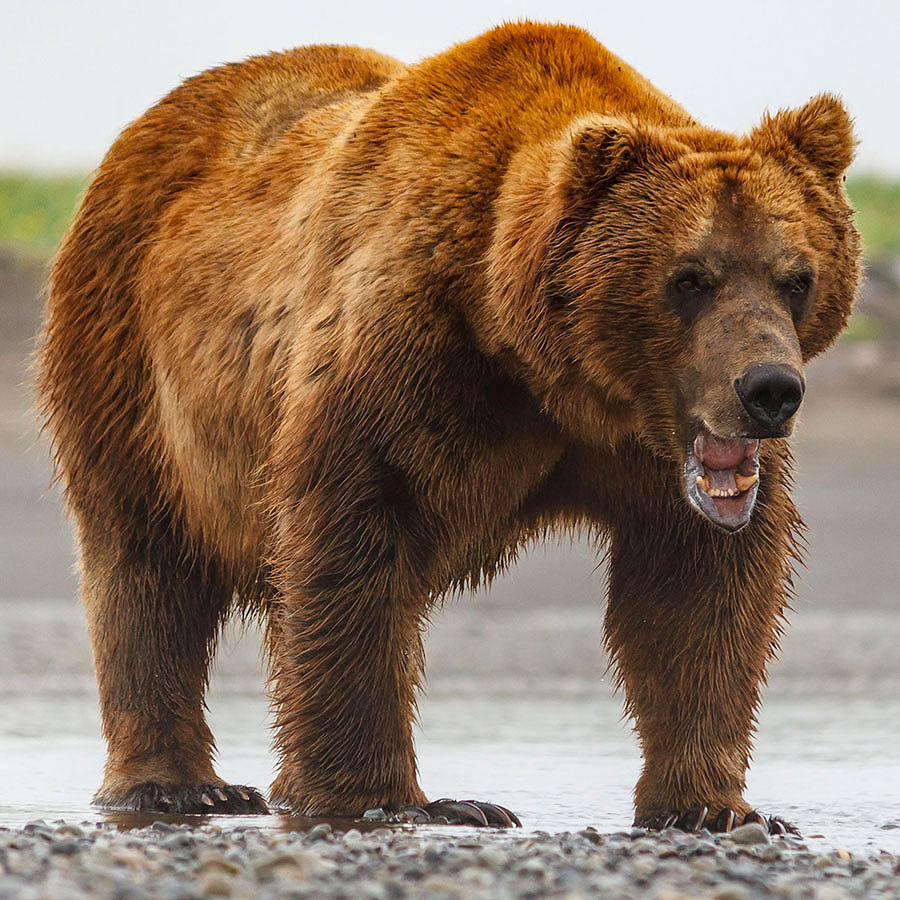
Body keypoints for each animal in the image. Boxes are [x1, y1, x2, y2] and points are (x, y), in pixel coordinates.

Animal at [38, 21, 860, 832]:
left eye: (796, 277)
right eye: (689, 278)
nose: (770, 390)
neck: (541, 357)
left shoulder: (645, 454)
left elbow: (697, 590)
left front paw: (713, 805)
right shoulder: (404, 350)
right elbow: (351, 544)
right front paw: (391, 798)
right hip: (127, 359)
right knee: (145, 565)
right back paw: (178, 786)